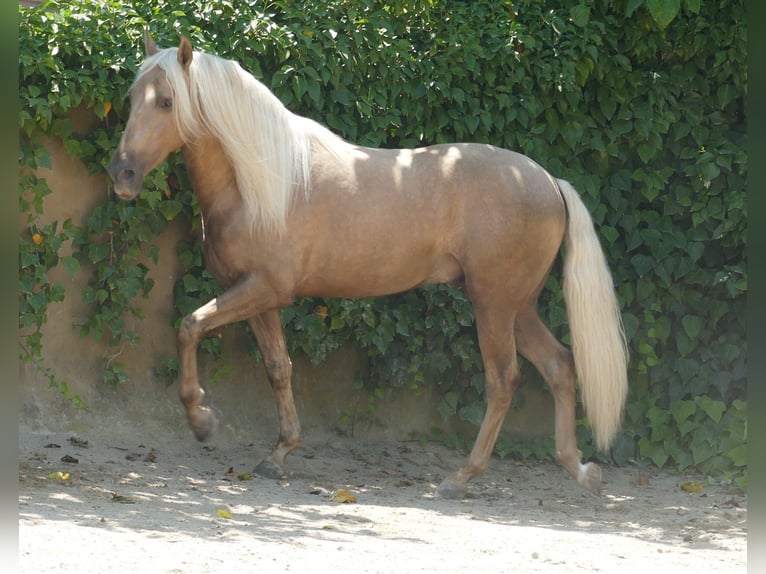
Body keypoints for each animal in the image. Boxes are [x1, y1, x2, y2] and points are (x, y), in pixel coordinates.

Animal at [108, 33, 628, 500]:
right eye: (133, 97)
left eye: (167, 102)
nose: (122, 174)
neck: (263, 182)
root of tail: (549, 180)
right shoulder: (256, 295)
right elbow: (278, 368)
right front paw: (279, 454)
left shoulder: (262, 289)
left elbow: (190, 326)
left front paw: (201, 420)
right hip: (517, 306)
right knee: (559, 365)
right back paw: (579, 469)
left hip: (494, 305)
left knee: (504, 381)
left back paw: (461, 478)